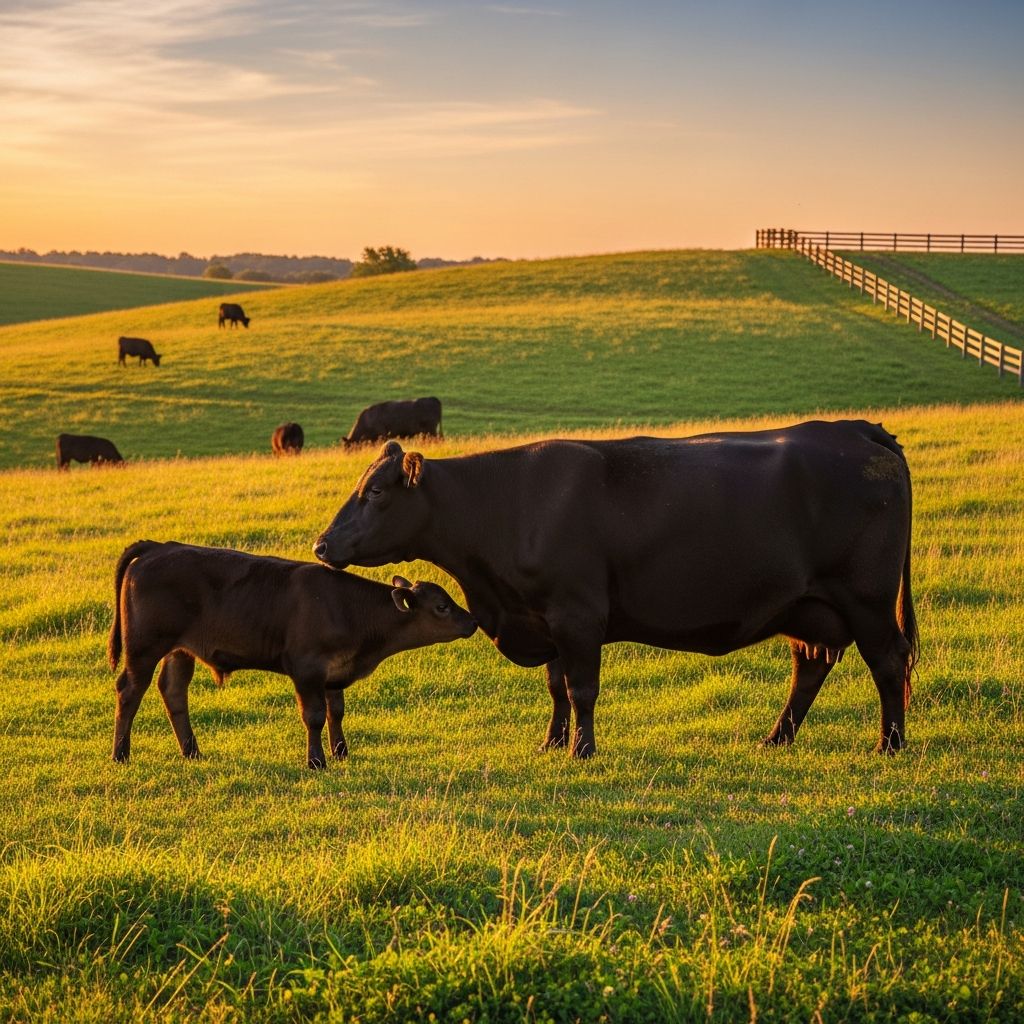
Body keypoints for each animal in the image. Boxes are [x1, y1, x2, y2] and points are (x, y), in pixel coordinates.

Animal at [108, 540, 476, 768]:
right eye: (442, 606)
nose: (472, 621)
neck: (347, 608)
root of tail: (160, 547)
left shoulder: (334, 675)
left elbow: (336, 712)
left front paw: (341, 752)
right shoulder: (306, 669)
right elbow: (313, 716)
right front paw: (316, 761)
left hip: (180, 650)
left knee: (173, 691)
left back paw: (192, 751)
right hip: (144, 648)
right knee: (130, 691)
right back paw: (121, 754)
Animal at [314, 421, 919, 759]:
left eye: (374, 492)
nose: (321, 544)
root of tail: (852, 427)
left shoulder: (577, 615)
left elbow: (581, 689)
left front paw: (581, 750)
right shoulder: (545, 620)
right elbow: (557, 688)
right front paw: (551, 743)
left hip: (866, 601)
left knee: (887, 663)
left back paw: (889, 745)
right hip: (807, 605)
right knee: (810, 665)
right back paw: (777, 738)